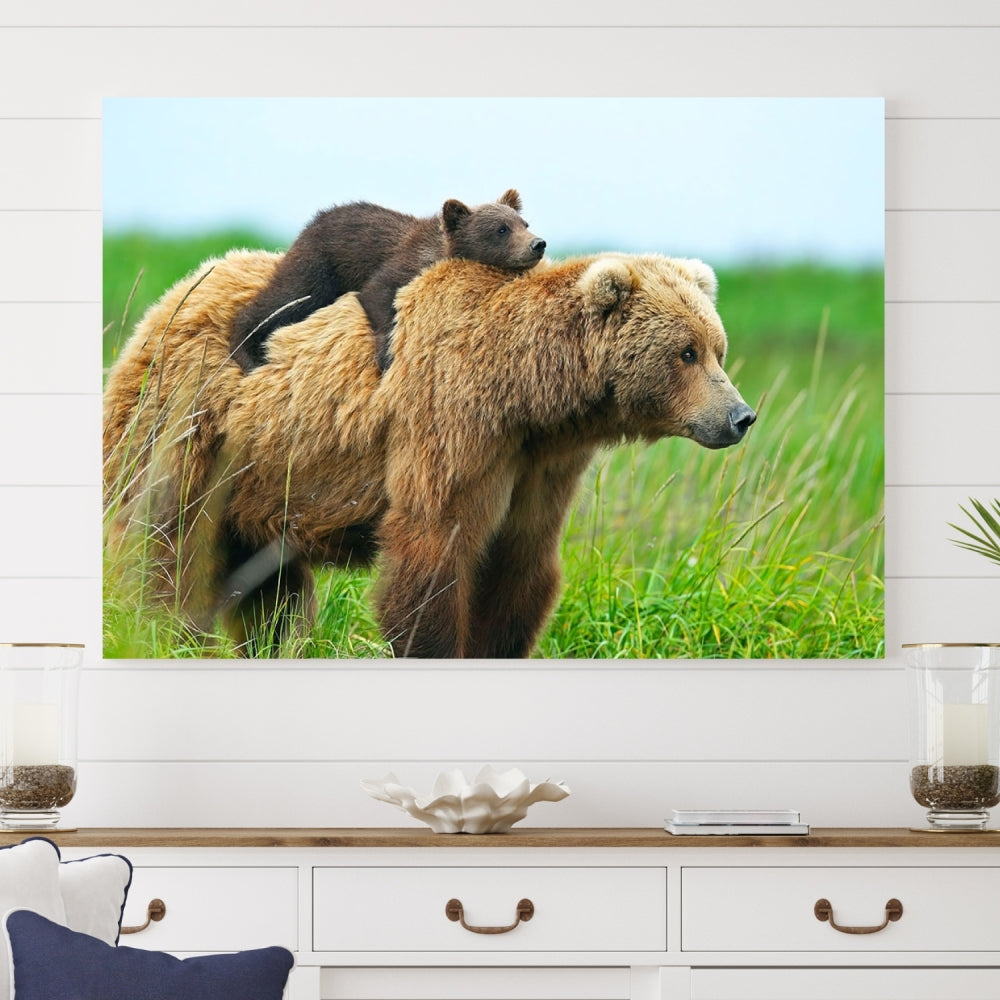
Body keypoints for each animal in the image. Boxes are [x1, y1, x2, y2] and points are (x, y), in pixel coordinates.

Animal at [103, 248, 755, 658]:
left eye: (717, 347)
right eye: (687, 352)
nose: (740, 416)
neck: (527, 395)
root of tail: (168, 299)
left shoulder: (538, 465)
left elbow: (520, 564)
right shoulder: (451, 423)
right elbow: (434, 551)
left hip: (261, 481)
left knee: (270, 589)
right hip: (186, 426)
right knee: (162, 545)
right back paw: (157, 634)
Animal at [229, 189, 546, 373]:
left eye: (524, 223)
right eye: (501, 229)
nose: (538, 244)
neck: (439, 251)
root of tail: (313, 221)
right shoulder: (401, 264)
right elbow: (378, 293)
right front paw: (386, 356)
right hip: (319, 264)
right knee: (286, 298)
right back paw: (246, 353)